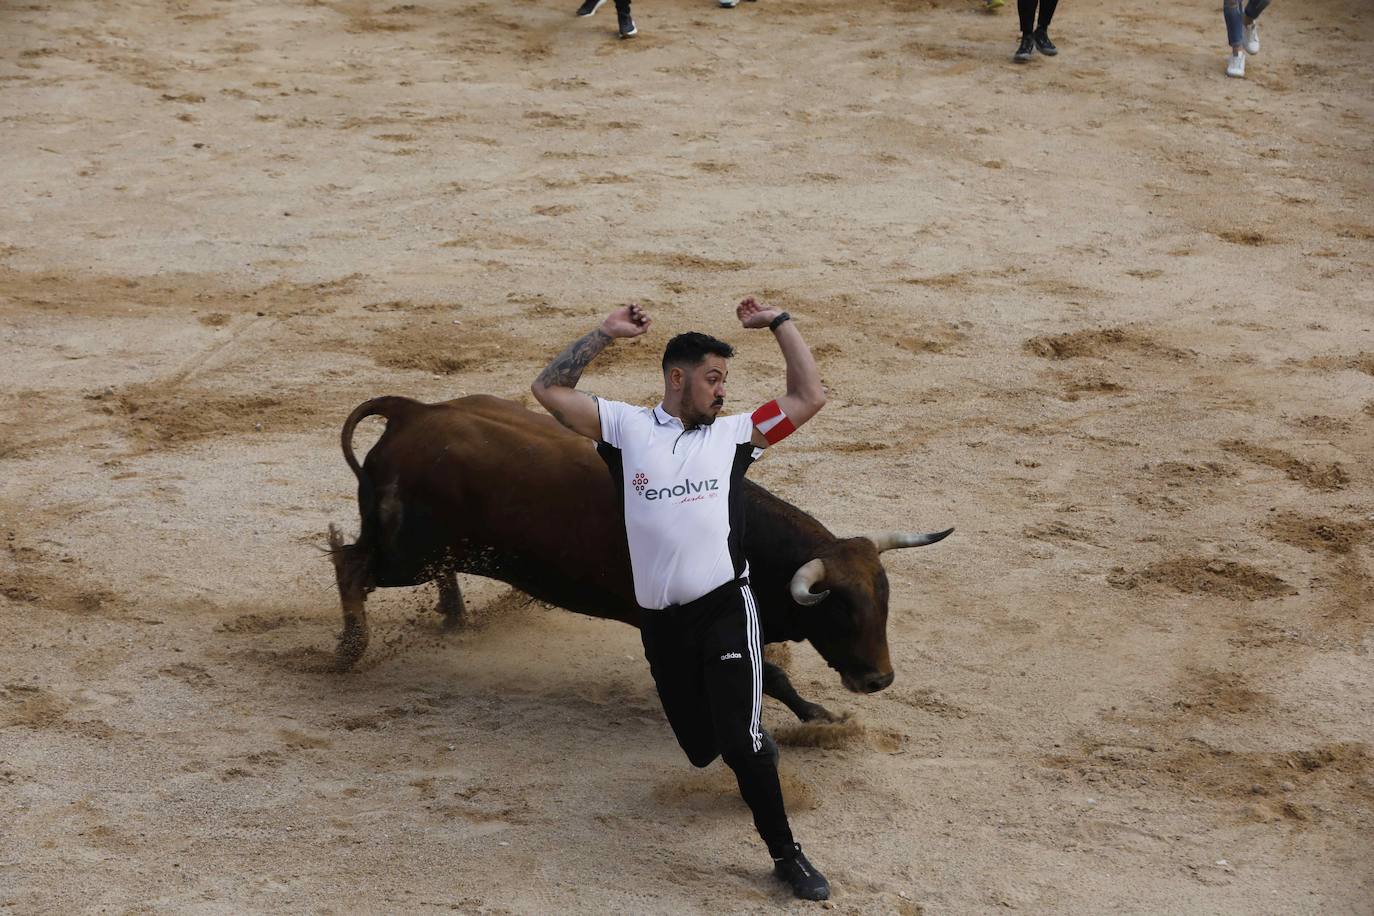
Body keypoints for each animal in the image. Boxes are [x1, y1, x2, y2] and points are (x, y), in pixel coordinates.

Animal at [327, 395, 950, 725]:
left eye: (885, 604)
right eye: (839, 612)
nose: (879, 679)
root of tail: (413, 411)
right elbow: (771, 675)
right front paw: (822, 718)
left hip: (429, 551)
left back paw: (453, 615)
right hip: (405, 555)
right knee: (353, 565)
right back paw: (348, 651)